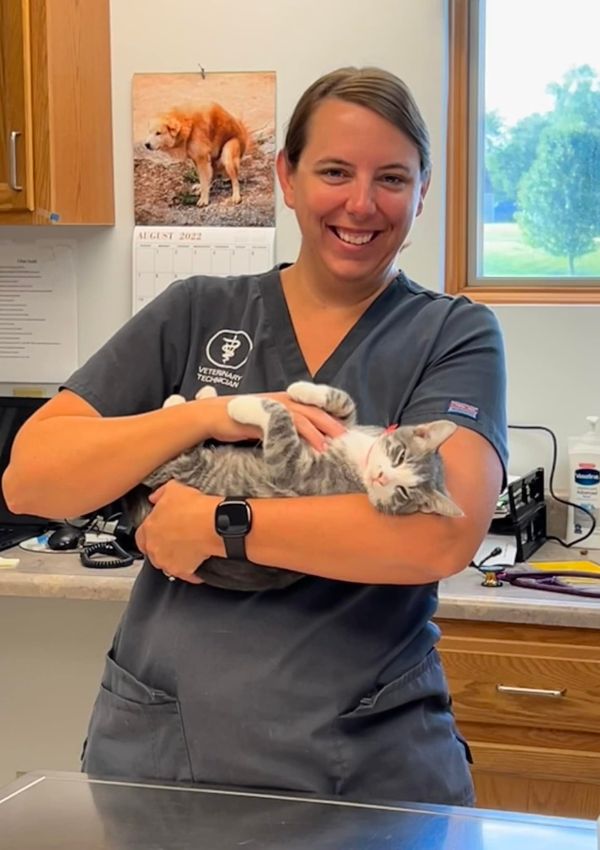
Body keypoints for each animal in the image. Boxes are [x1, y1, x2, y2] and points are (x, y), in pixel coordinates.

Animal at [126, 380, 462, 592]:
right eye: (399, 456)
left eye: (404, 493)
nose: (382, 477)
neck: (361, 460)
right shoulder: (344, 427)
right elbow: (343, 403)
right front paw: (301, 391)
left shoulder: (292, 470)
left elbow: (281, 417)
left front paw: (244, 404)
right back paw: (202, 396)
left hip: (188, 470)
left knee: (167, 462)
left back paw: (184, 402)